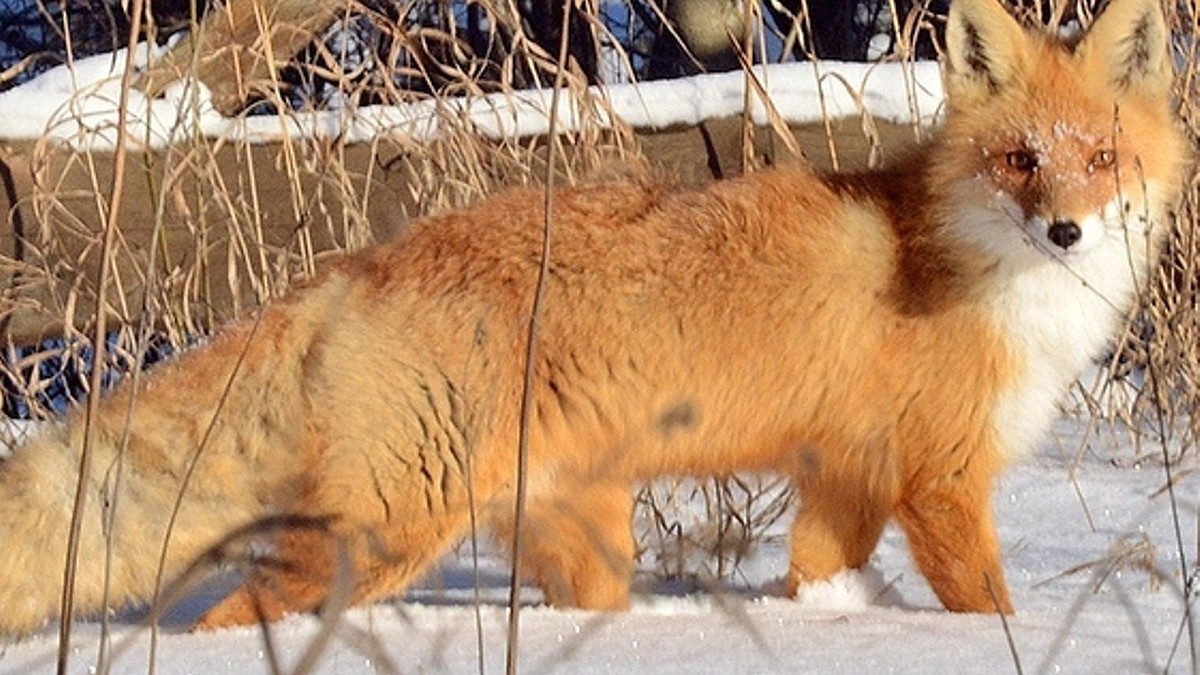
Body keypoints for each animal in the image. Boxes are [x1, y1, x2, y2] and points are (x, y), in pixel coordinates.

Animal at [0, 0, 1185, 629]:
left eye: (1101, 158)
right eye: (1020, 159)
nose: (1067, 232)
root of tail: (367, 259)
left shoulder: (846, 475)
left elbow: (816, 577)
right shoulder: (939, 478)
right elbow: (991, 606)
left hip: (580, 539)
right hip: (385, 531)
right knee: (238, 617)